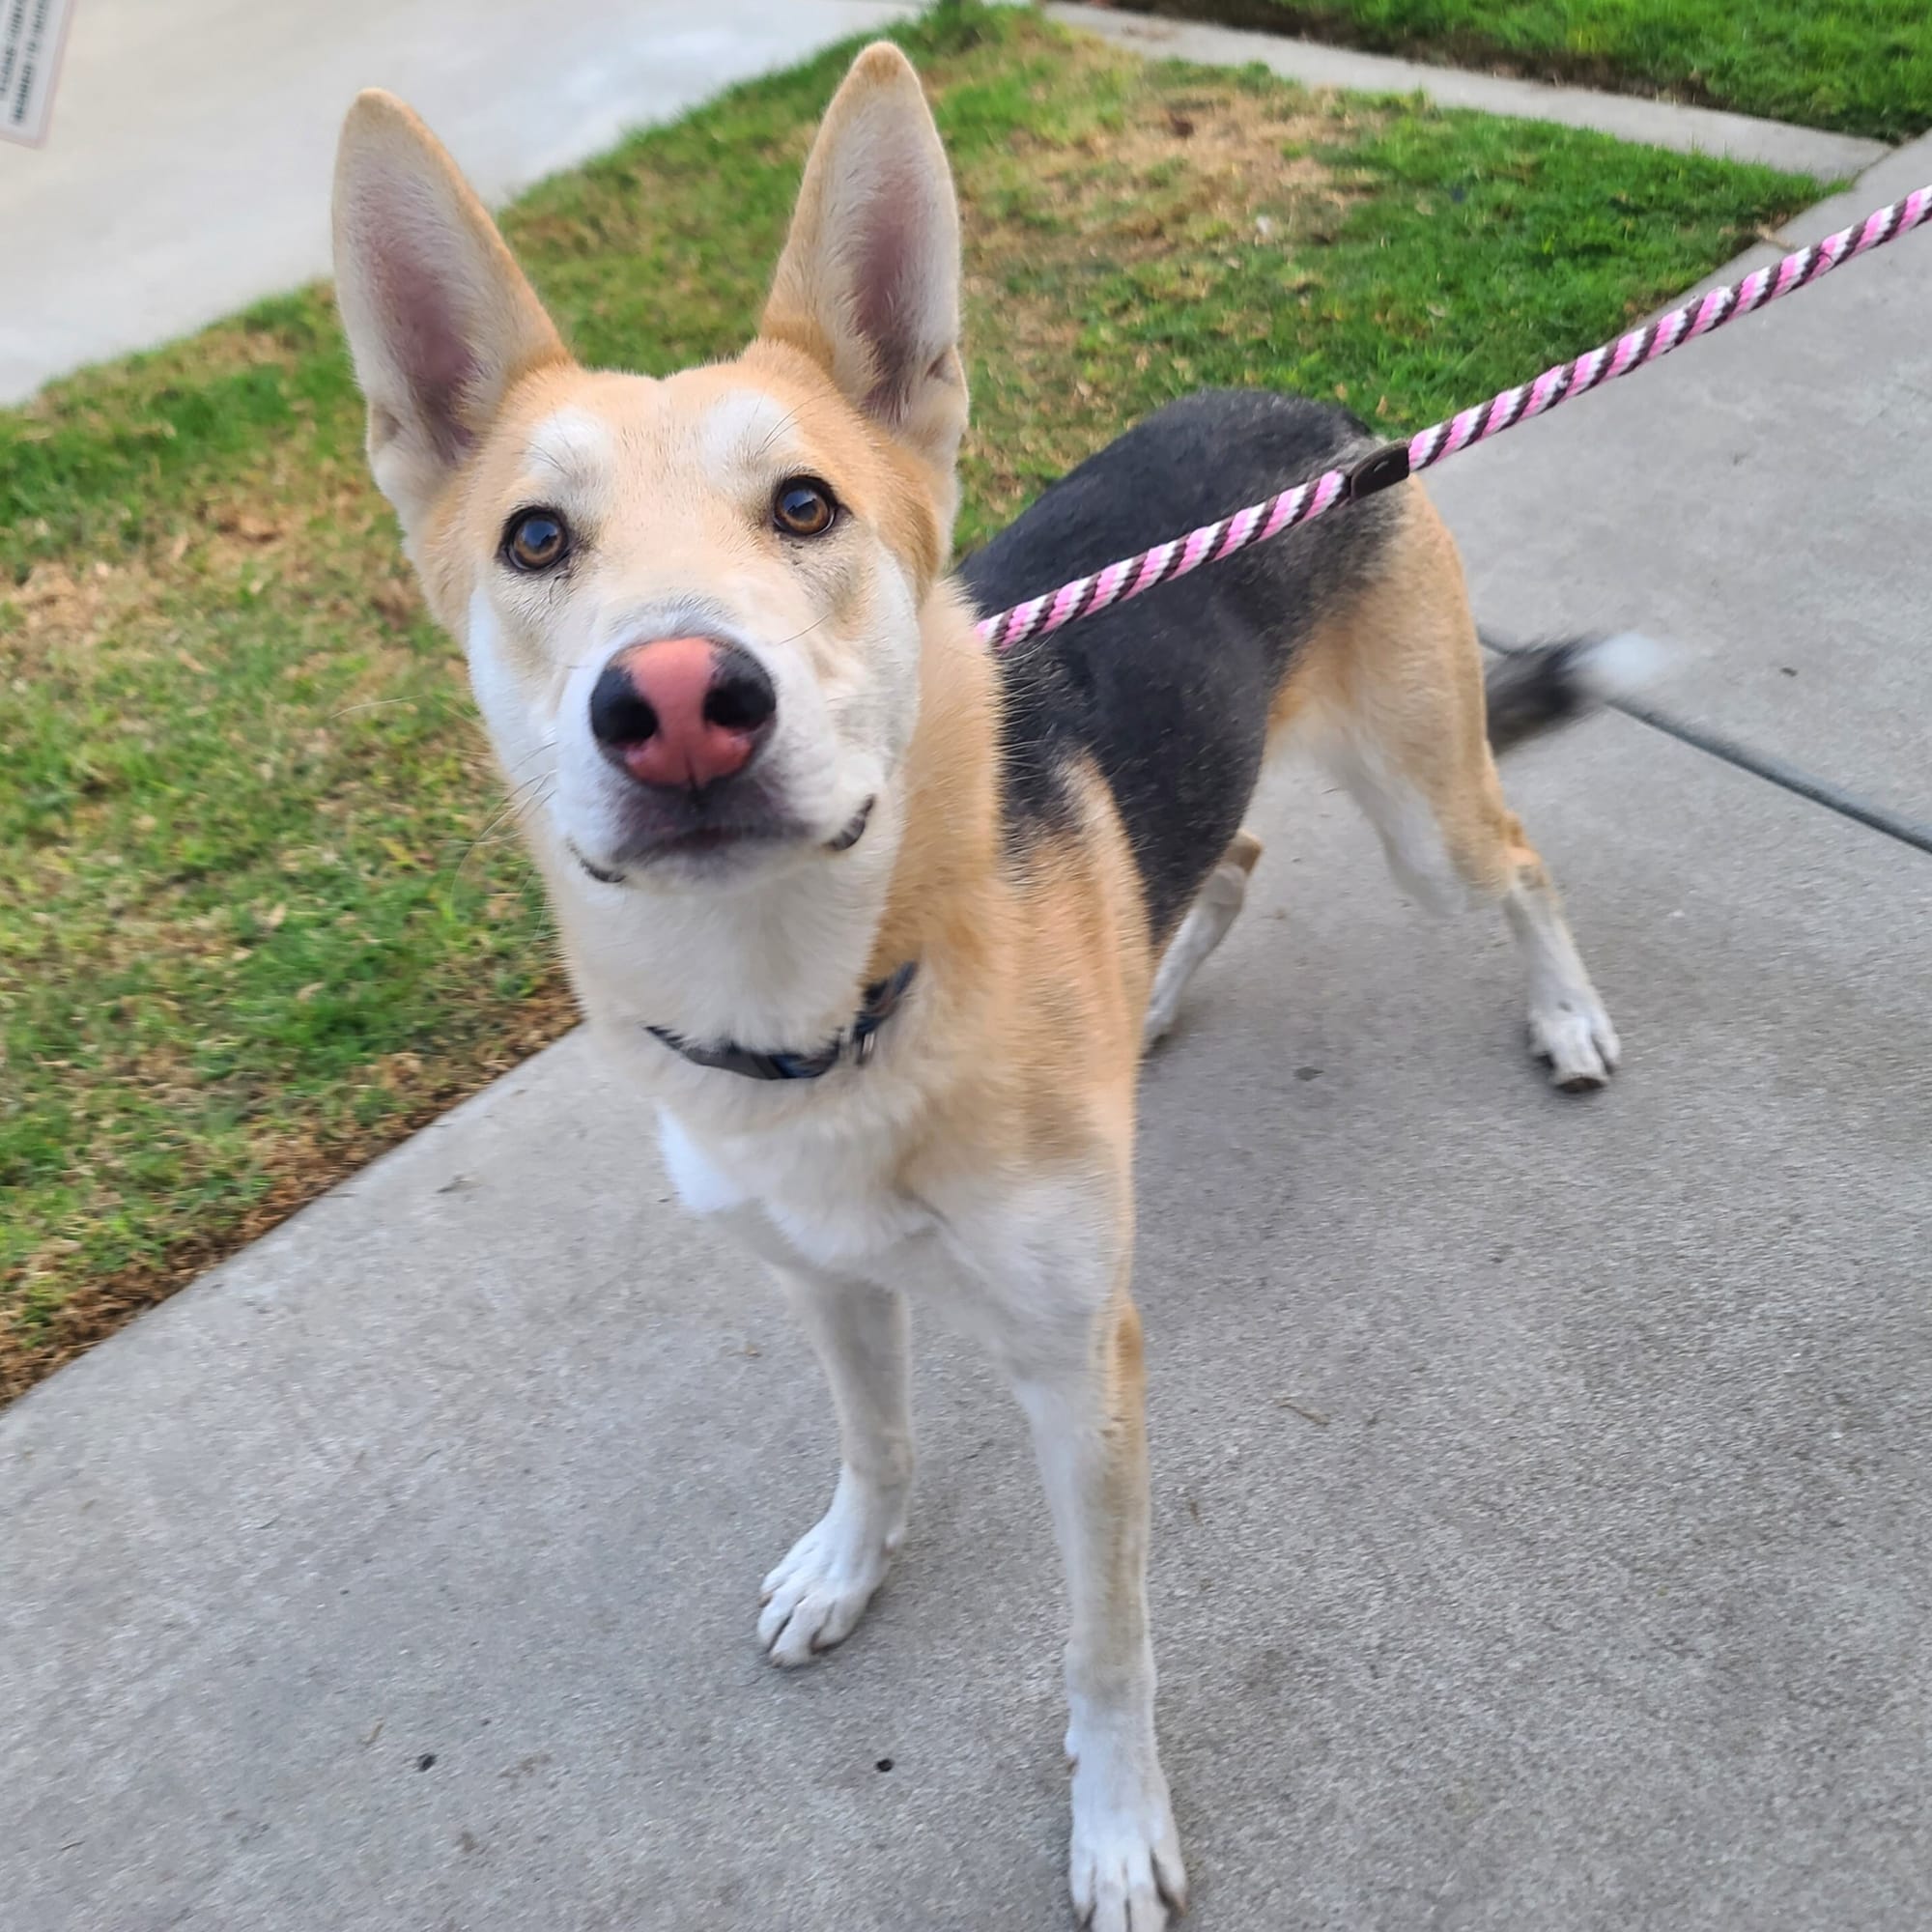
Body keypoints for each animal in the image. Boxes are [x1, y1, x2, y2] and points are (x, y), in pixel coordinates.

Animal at [332, 42, 1646, 1917]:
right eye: (533, 541)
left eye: (805, 505)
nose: (679, 703)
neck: (825, 1011)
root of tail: (1319, 417)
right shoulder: (821, 1283)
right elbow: (873, 1442)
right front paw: (846, 1565)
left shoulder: (1079, 1365)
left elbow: (1106, 1645)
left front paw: (1115, 1827)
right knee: (1230, 858)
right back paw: (1149, 995)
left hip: (1422, 809)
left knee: (1517, 860)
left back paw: (1564, 1013)